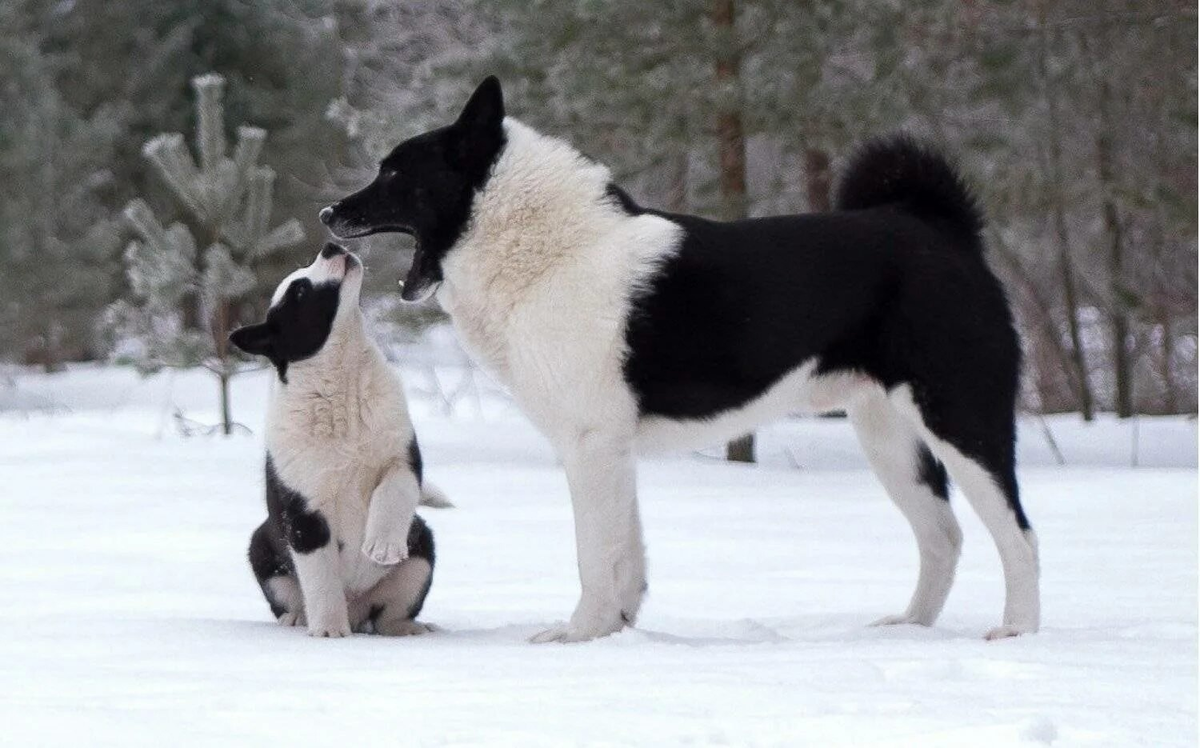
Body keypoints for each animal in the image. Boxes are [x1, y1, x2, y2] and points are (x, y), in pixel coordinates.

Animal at [230, 244, 446, 638]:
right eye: (300, 291)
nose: (331, 247)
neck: (340, 381)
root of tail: (357, 608)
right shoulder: (305, 514)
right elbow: (320, 578)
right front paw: (329, 632)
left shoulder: (403, 460)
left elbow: (393, 492)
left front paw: (382, 546)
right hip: (261, 550)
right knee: (295, 597)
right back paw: (299, 620)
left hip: (421, 546)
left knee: (390, 612)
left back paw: (407, 628)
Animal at [319, 76, 1041, 638]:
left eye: (394, 173)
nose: (328, 213)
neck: (550, 248)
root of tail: (940, 229)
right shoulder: (613, 449)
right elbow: (627, 555)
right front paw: (615, 631)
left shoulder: (590, 444)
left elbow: (594, 553)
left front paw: (577, 634)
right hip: (889, 440)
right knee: (943, 536)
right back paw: (909, 629)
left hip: (962, 423)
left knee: (1018, 535)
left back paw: (1016, 631)